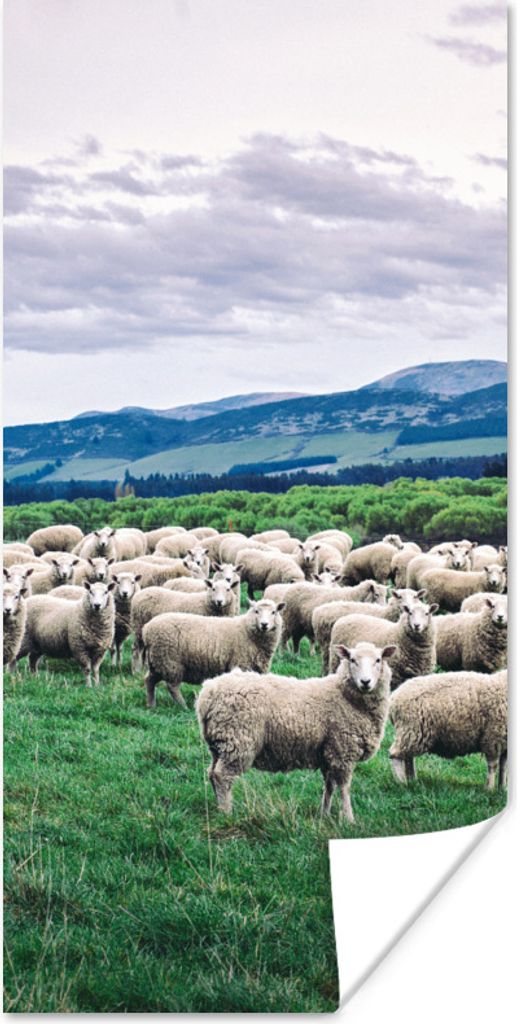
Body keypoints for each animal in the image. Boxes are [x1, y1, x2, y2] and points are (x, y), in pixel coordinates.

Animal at [142, 598, 284, 709]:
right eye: (256, 611)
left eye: (274, 612)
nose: (264, 624)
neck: (247, 631)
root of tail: (147, 629)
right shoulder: (242, 664)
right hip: (170, 661)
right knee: (172, 687)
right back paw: (184, 706)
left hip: (157, 661)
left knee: (149, 680)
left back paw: (151, 705)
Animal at [196, 641, 396, 822]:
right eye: (352, 660)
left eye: (378, 660)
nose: (365, 682)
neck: (345, 696)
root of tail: (207, 694)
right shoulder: (342, 751)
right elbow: (344, 788)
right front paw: (349, 819)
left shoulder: (329, 752)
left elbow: (329, 786)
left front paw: (324, 814)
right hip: (238, 741)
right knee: (222, 776)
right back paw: (227, 813)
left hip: (219, 744)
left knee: (212, 773)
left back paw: (218, 808)